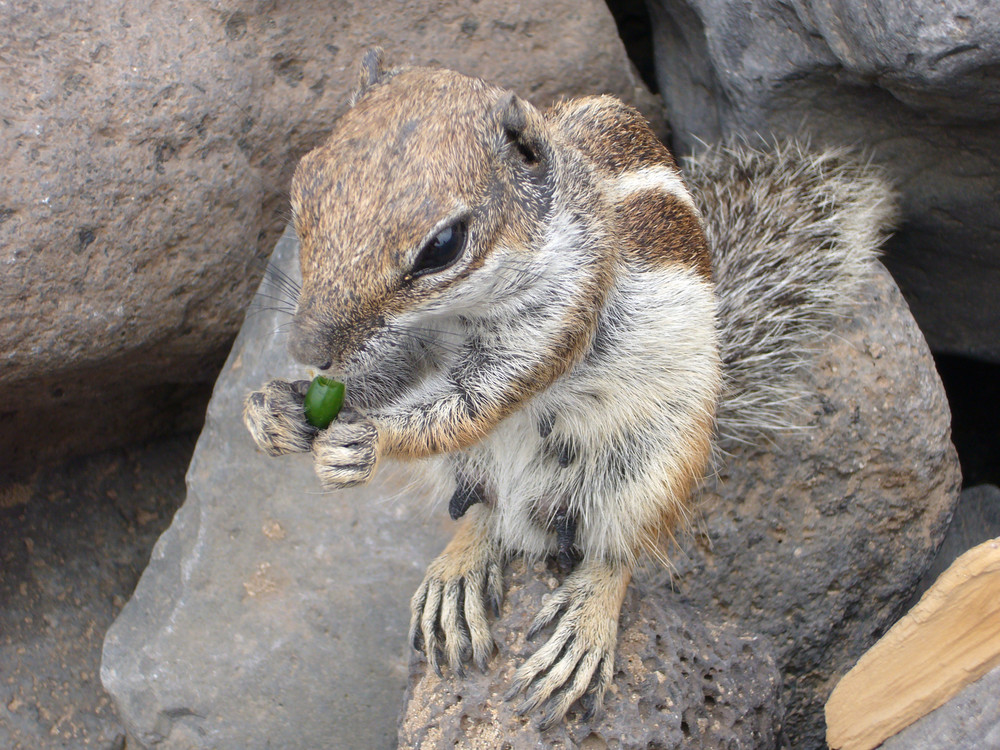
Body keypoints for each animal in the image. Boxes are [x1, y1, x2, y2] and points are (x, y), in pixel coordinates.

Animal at [240, 50, 892, 732]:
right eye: (300, 191)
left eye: (443, 246)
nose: (307, 348)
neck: (452, 317)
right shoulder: (397, 349)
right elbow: (381, 381)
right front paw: (273, 410)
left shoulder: (562, 315)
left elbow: (477, 402)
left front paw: (366, 440)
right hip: (485, 478)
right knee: (485, 509)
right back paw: (460, 570)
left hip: (652, 465)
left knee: (618, 548)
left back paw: (582, 627)